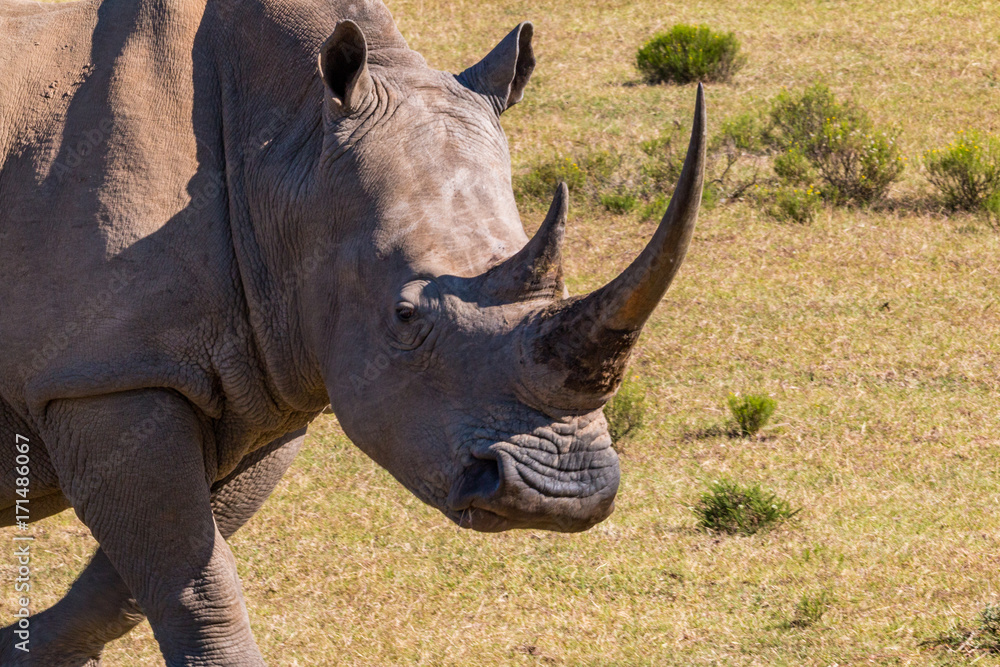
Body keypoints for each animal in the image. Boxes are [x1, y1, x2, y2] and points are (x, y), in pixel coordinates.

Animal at [0, 0, 706, 663]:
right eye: (405, 316)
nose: (561, 493)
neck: (286, 148)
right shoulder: (103, 375)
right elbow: (194, 582)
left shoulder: (265, 377)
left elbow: (152, 573)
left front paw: (23, 649)